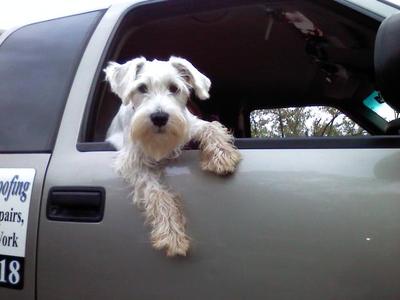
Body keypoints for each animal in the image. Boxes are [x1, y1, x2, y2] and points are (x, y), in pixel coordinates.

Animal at [104, 56, 241, 255]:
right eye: (142, 88)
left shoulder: (190, 124)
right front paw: (171, 234)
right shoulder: (133, 162)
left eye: (174, 88)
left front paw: (222, 155)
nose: (159, 117)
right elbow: (158, 193)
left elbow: (211, 127)